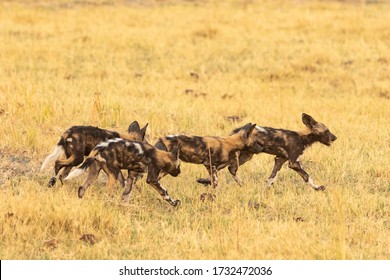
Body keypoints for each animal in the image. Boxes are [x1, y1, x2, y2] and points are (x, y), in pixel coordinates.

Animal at [203, 113, 336, 190]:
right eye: (327, 131)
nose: (335, 137)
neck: (302, 137)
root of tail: (237, 130)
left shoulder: (280, 159)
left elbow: (272, 177)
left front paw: (266, 189)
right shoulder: (293, 163)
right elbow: (307, 176)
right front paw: (317, 188)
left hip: (247, 155)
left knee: (229, 169)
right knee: (220, 168)